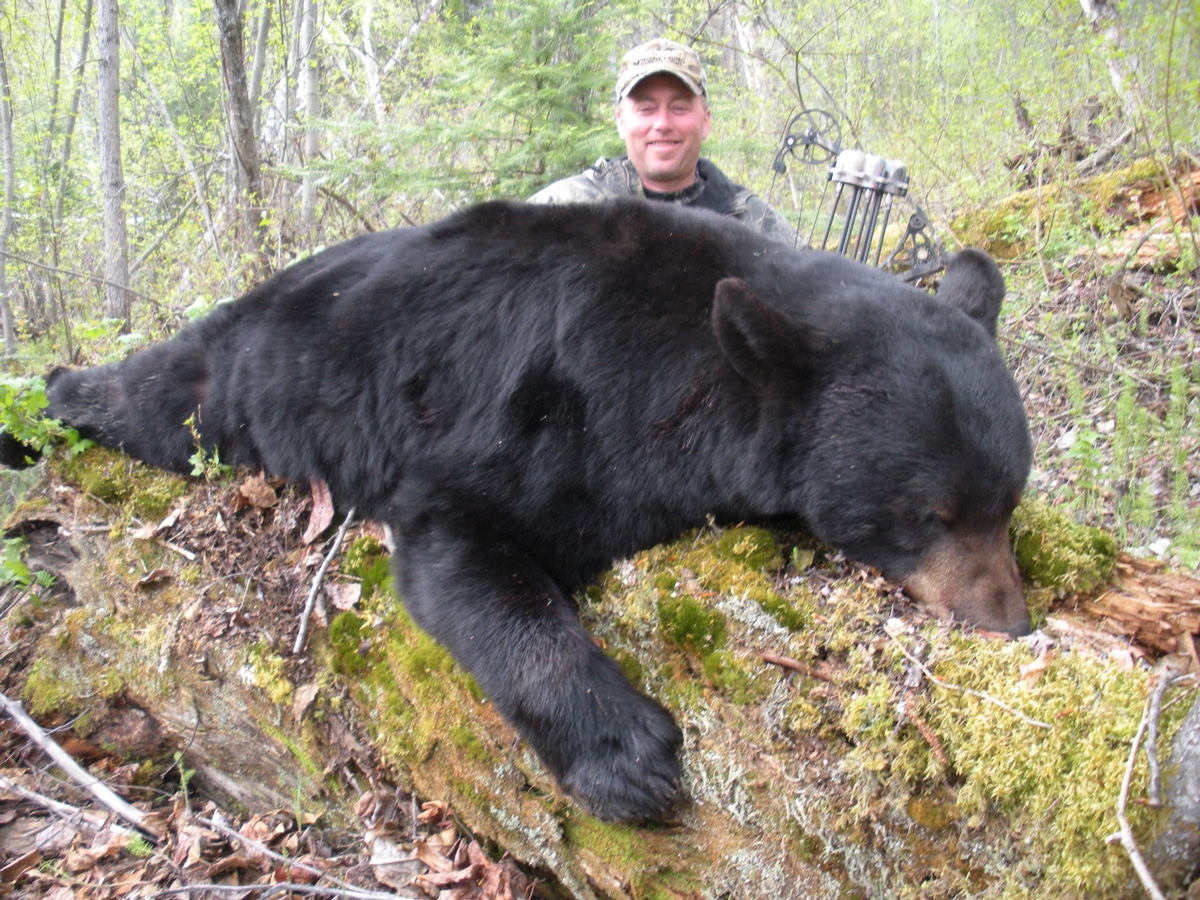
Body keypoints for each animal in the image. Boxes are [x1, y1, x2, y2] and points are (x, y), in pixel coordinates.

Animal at [2, 202, 1032, 825]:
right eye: (928, 514)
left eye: (1008, 501)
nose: (1012, 620)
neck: (691, 378)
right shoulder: (546, 424)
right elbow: (470, 554)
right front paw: (628, 756)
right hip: (235, 386)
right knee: (151, 394)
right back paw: (52, 399)